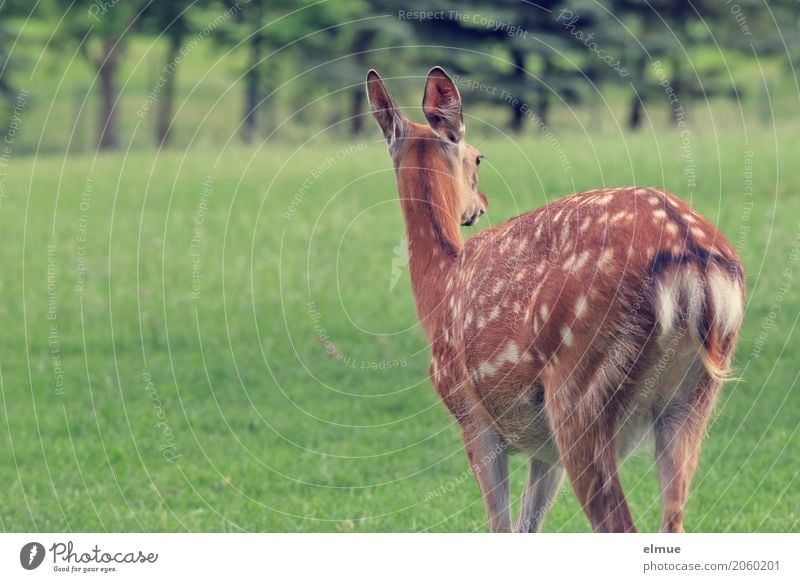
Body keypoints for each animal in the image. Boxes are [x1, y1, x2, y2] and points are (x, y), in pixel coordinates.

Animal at [366, 67, 748, 532]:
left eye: (478, 157)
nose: (480, 205)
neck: (438, 290)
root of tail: (694, 260)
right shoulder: (543, 450)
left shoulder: (471, 416)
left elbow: (501, 528)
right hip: (693, 397)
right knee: (673, 519)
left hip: (577, 385)